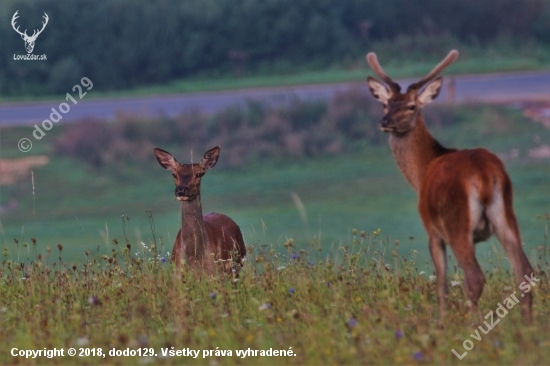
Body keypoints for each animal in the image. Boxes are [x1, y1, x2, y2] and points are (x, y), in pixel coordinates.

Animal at [156, 146, 249, 274]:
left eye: (199, 174)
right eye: (174, 174)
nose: (181, 190)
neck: (195, 257)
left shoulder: (215, 272)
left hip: (237, 264)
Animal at [366, 50, 536, 324]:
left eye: (411, 106)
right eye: (386, 104)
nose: (385, 121)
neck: (422, 171)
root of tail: (485, 174)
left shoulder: (433, 231)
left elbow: (442, 285)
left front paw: (442, 322)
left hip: (456, 222)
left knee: (475, 277)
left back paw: (470, 324)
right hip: (505, 214)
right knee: (524, 270)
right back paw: (527, 325)